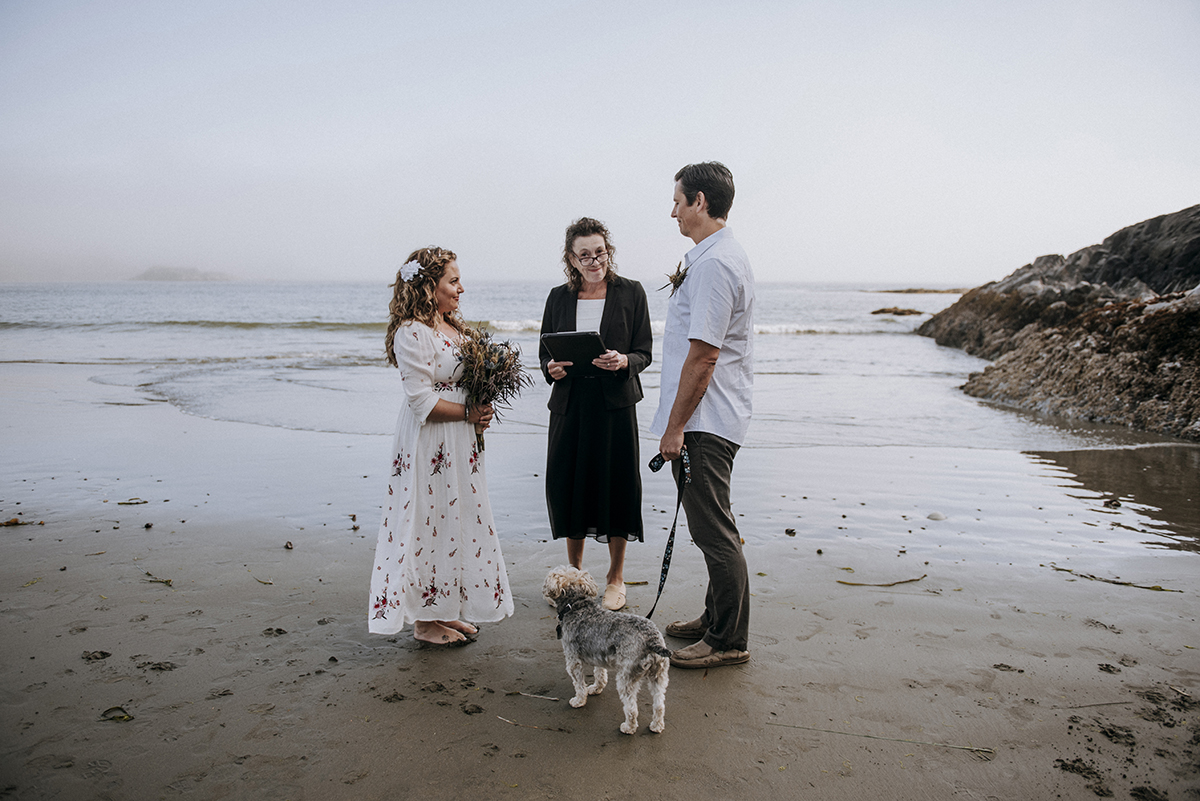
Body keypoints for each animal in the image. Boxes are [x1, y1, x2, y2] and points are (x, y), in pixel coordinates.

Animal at [542, 563, 672, 733]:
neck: (576, 606)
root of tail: (652, 640)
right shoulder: (598, 655)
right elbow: (600, 676)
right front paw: (596, 689)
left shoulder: (573, 661)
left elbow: (579, 684)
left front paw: (579, 701)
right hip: (659, 676)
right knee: (659, 705)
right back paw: (656, 726)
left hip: (626, 678)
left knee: (632, 708)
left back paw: (628, 728)